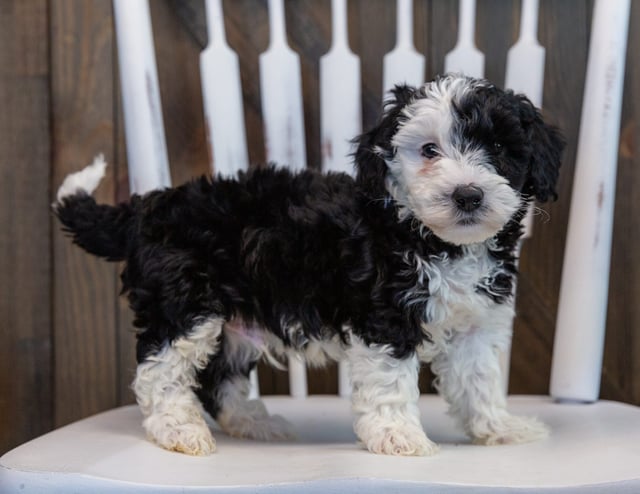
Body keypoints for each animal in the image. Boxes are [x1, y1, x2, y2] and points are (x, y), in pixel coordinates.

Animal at [56, 72, 564, 456]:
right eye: (429, 151)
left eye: (499, 150)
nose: (467, 195)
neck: (428, 236)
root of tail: (146, 208)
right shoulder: (383, 318)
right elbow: (391, 381)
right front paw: (398, 436)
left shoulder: (474, 324)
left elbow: (479, 379)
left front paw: (498, 428)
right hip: (184, 305)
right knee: (159, 370)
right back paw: (177, 430)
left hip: (234, 322)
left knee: (218, 377)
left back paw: (252, 423)